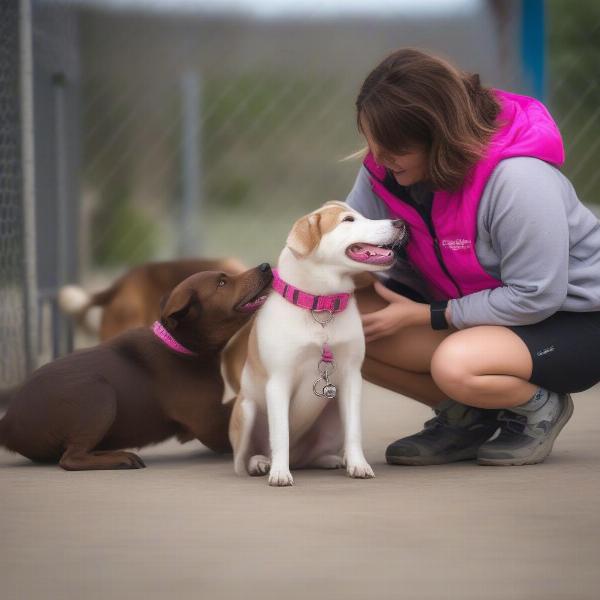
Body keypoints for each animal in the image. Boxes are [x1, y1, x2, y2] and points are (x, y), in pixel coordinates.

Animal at [229, 199, 408, 486]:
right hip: (246, 411)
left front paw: (358, 465)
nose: (400, 223)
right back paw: (261, 463)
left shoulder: (351, 376)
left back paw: (328, 460)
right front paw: (280, 472)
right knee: (247, 457)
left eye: (361, 215)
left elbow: (354, 430)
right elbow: (280, 434)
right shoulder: (278, 381)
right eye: (348, 220)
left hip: (332, 413)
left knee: (312, 454)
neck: (320, 304)